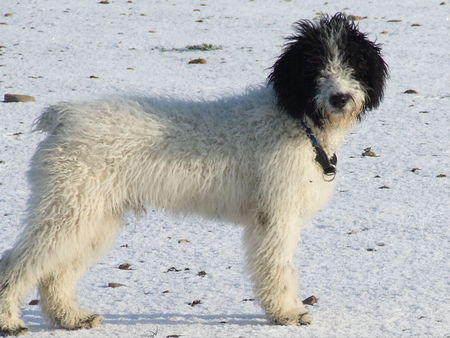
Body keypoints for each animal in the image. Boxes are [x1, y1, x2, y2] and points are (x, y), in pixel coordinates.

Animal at [0, 13, 386, 336]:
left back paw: (70, 318)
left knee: (56, 272)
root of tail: (64, 117)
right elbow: (277, 266)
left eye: (353, 63)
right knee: (18, 262)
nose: (340, 97)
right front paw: (287, 313)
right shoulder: (275, 215)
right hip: (69, 206)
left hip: (92, 216)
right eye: (315, 65)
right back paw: (10, 321)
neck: (295, 119)